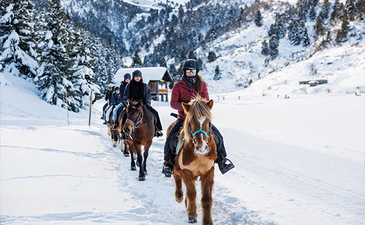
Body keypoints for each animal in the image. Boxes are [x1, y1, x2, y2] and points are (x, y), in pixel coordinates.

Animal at [171, 96, 216, 225]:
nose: (201, 147)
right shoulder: (186, 172)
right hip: (176, 167)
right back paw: (179, 196)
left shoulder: (208, 172)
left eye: (208, 122)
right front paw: (192, 215)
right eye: (191, 122)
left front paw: (207, 221)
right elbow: (191, 194)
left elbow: (206, 199)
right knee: (176, 177)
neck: (199, 156)